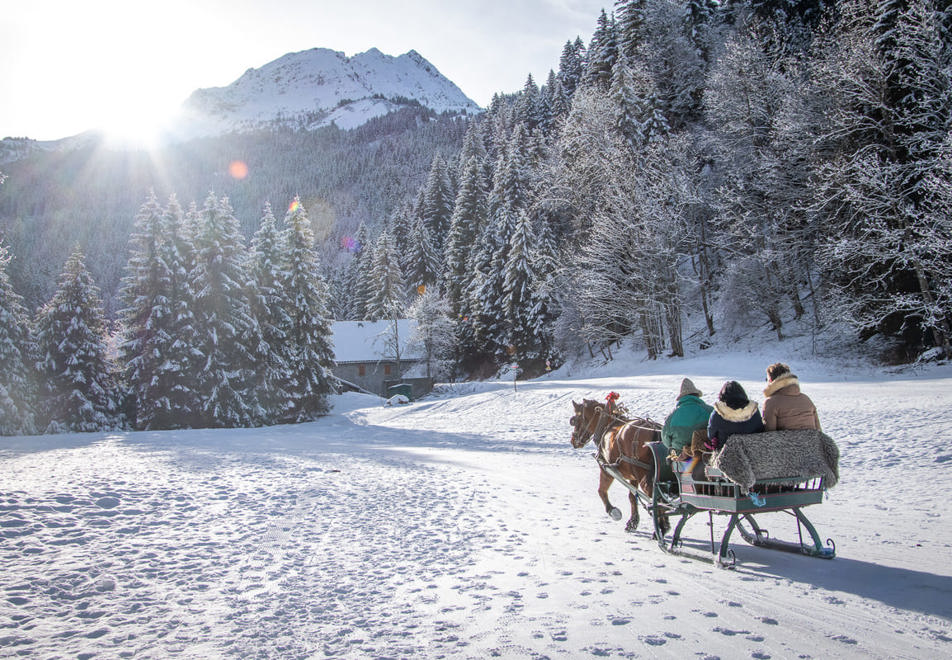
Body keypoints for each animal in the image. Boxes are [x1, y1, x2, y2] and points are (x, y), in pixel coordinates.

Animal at [572, 398, 668, 536]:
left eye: (576, 419)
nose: (573, 441)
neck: (607, 424)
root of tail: (655, 432)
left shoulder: (606, 468)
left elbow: (601, 491)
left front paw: (613, 511)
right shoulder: (633, 477)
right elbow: (632, 497)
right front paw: (633, 522)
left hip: (644, 477)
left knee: (657, 499)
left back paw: (661, 529)